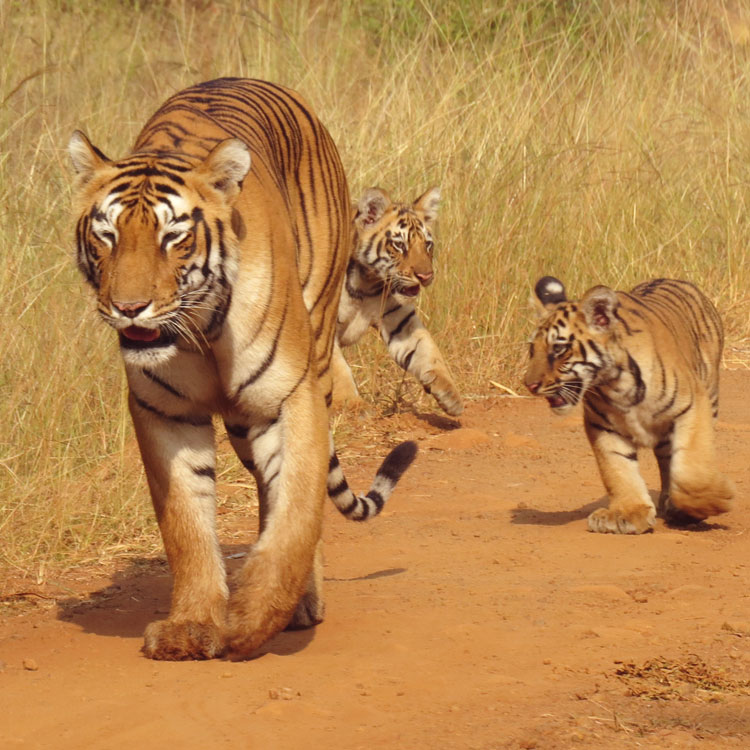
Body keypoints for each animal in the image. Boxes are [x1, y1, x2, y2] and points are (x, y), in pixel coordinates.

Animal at [66, 79, 418, 660]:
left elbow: (296, 511)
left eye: (172, 237)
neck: (201, 330)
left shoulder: (290, 397)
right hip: (239, 422)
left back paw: (302, 602)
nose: (129, 307)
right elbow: (186, 524)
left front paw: (256, 618)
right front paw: (191, 627)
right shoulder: (164, 412)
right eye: (108, 236)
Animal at [330, 184, 462, 414]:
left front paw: (450, 394)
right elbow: (339, 368)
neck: (366, 283)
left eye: (428, 244)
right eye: (399, 245)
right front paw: (352, 404)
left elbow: (427, 350)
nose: (426, 276)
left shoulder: (399, 320)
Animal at [524, 278, 732, 536]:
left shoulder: (692, 406)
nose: (529, 384)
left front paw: (708, 504)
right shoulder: (603, 426)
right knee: (666, 461)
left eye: (558, 349)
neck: (614, 383)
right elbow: (617, 468)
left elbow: (692, 470)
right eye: (532, 349)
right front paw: (627, 514)